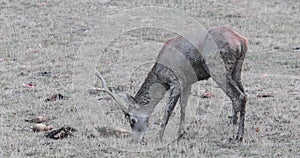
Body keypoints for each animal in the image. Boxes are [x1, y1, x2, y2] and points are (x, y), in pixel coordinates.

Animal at [95, 26, 248, 143]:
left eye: (132, 120)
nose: (136, 140)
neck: (160, 76)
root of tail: (242, 42)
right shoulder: (187, 82)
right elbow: (183, 106)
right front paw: (180, 134)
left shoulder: (176, 81)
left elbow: (168, 109)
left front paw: (158, 137)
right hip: (236, 70)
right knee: (245, 95)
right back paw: (239, 136)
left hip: (218, 69)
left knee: (237, 96)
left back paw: (230, 136)